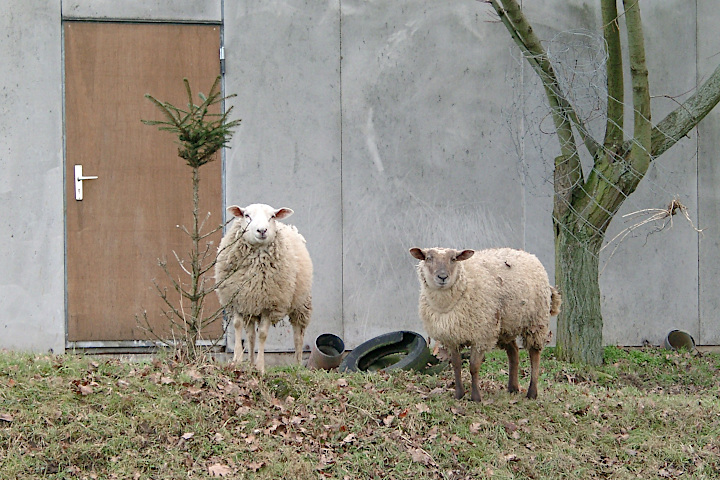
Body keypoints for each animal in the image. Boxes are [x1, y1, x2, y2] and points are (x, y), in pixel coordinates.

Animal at [217, 202, 312, 376]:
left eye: (272, 216)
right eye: (246, 215)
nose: (262, 230)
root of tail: (289, 227)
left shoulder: (269, 306)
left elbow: (262, 334)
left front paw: (260, 367)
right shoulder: (238, 301)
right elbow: (238, 327)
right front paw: (237, 361)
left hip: (301, 304)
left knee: (298, 335)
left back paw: (297, 365)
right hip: (251, 307)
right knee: (250, 335)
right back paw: (250, 362)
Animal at [408, 248, 560, 402]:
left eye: (454, 259)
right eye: (428, 258)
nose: (442, 277)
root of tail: (527, 254)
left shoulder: (481, 335)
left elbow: (474, 366)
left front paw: (475, 397)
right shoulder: (452, 337)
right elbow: (456, 365)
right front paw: (459, 395)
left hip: (536, 321)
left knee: (534, 354)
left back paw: (532, 393)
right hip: (505, 325)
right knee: (514, 352)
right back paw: (512, 388)